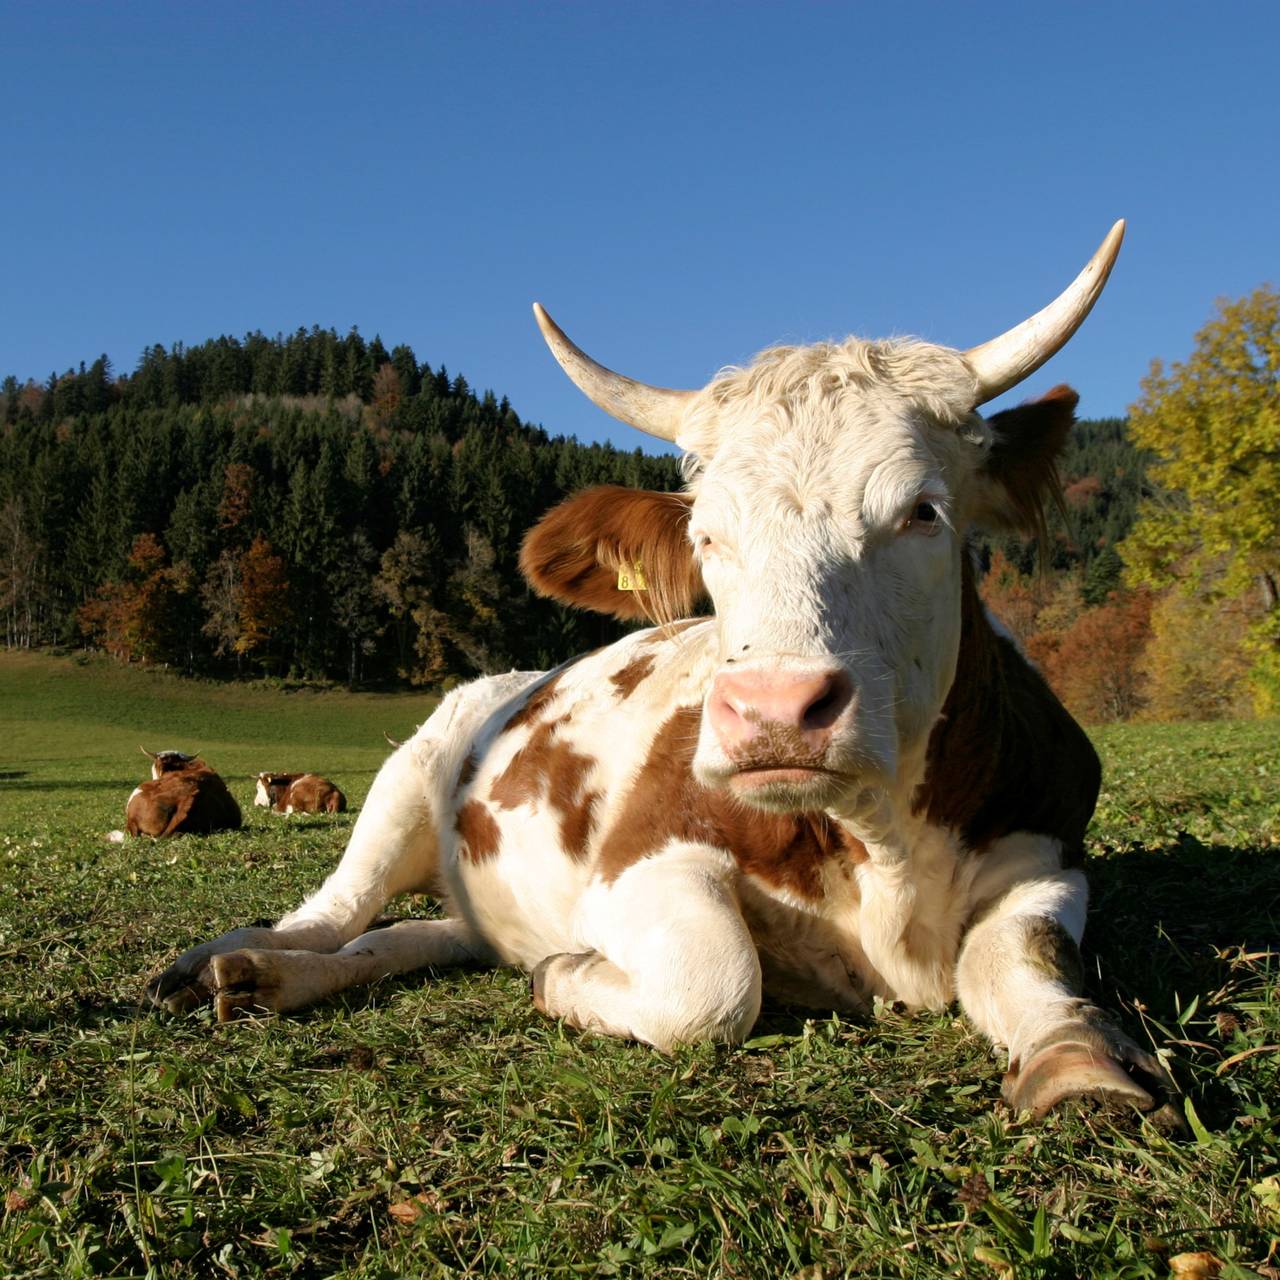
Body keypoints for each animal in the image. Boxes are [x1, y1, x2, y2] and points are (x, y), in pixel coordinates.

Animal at [146, 222, 1178, 1123]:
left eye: (923, 511)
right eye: (706, 535)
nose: (774, 710)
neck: (880, 848)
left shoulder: (1050, 853)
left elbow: (1022, 959)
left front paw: (1080, 1060)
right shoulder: (639, 861)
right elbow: (716, 984)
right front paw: (568, 976)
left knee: (407, 938)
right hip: (404, 779)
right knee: (333, 912)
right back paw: (233, 961)